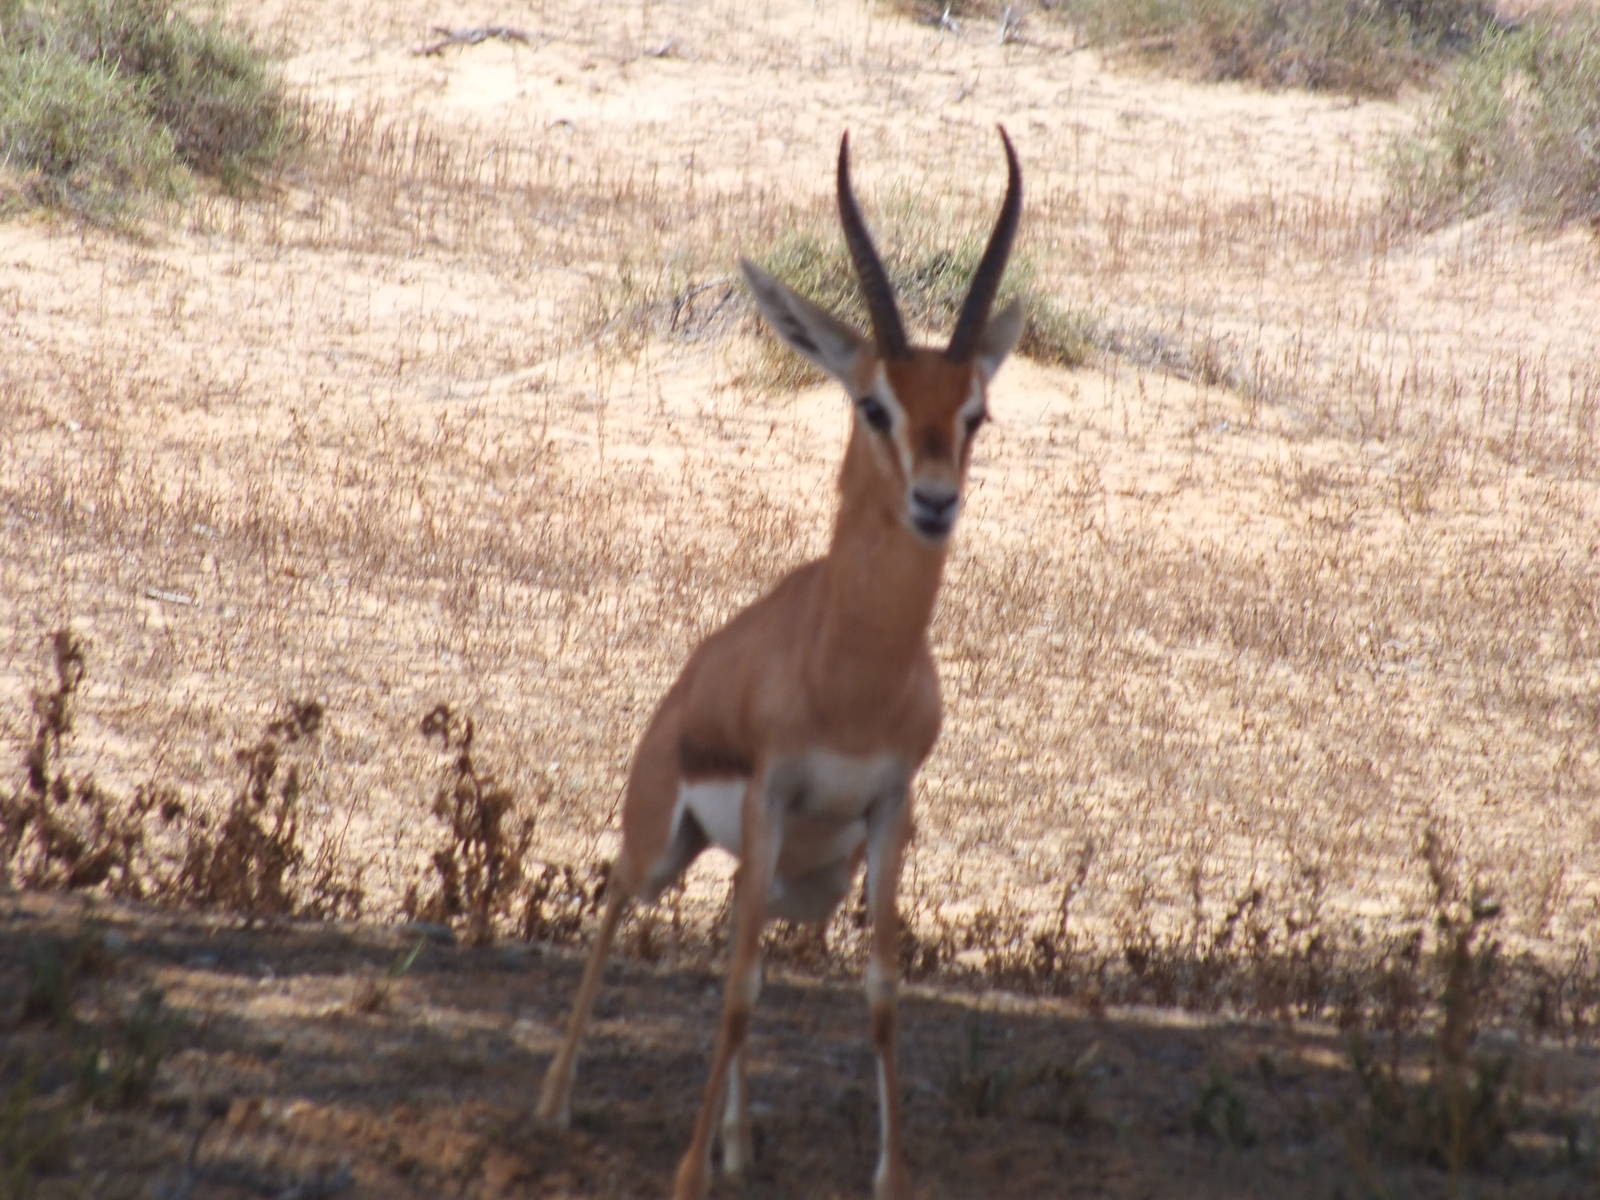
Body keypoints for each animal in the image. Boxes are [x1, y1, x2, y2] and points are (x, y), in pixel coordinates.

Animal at [535, 127, 1024, 1200]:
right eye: (874, 405)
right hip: (668, 845)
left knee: (729, 927)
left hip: (798, 871)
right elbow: (740, 992)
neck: (852, 674)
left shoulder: (887, 811)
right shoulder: (770, 794)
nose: (935, 502)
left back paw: (739, 1144)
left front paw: (890, 1177)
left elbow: (879, 989)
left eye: (975, 413)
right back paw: (557, 1101)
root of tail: (681, 688)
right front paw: (684, 1176)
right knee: (619, 894)